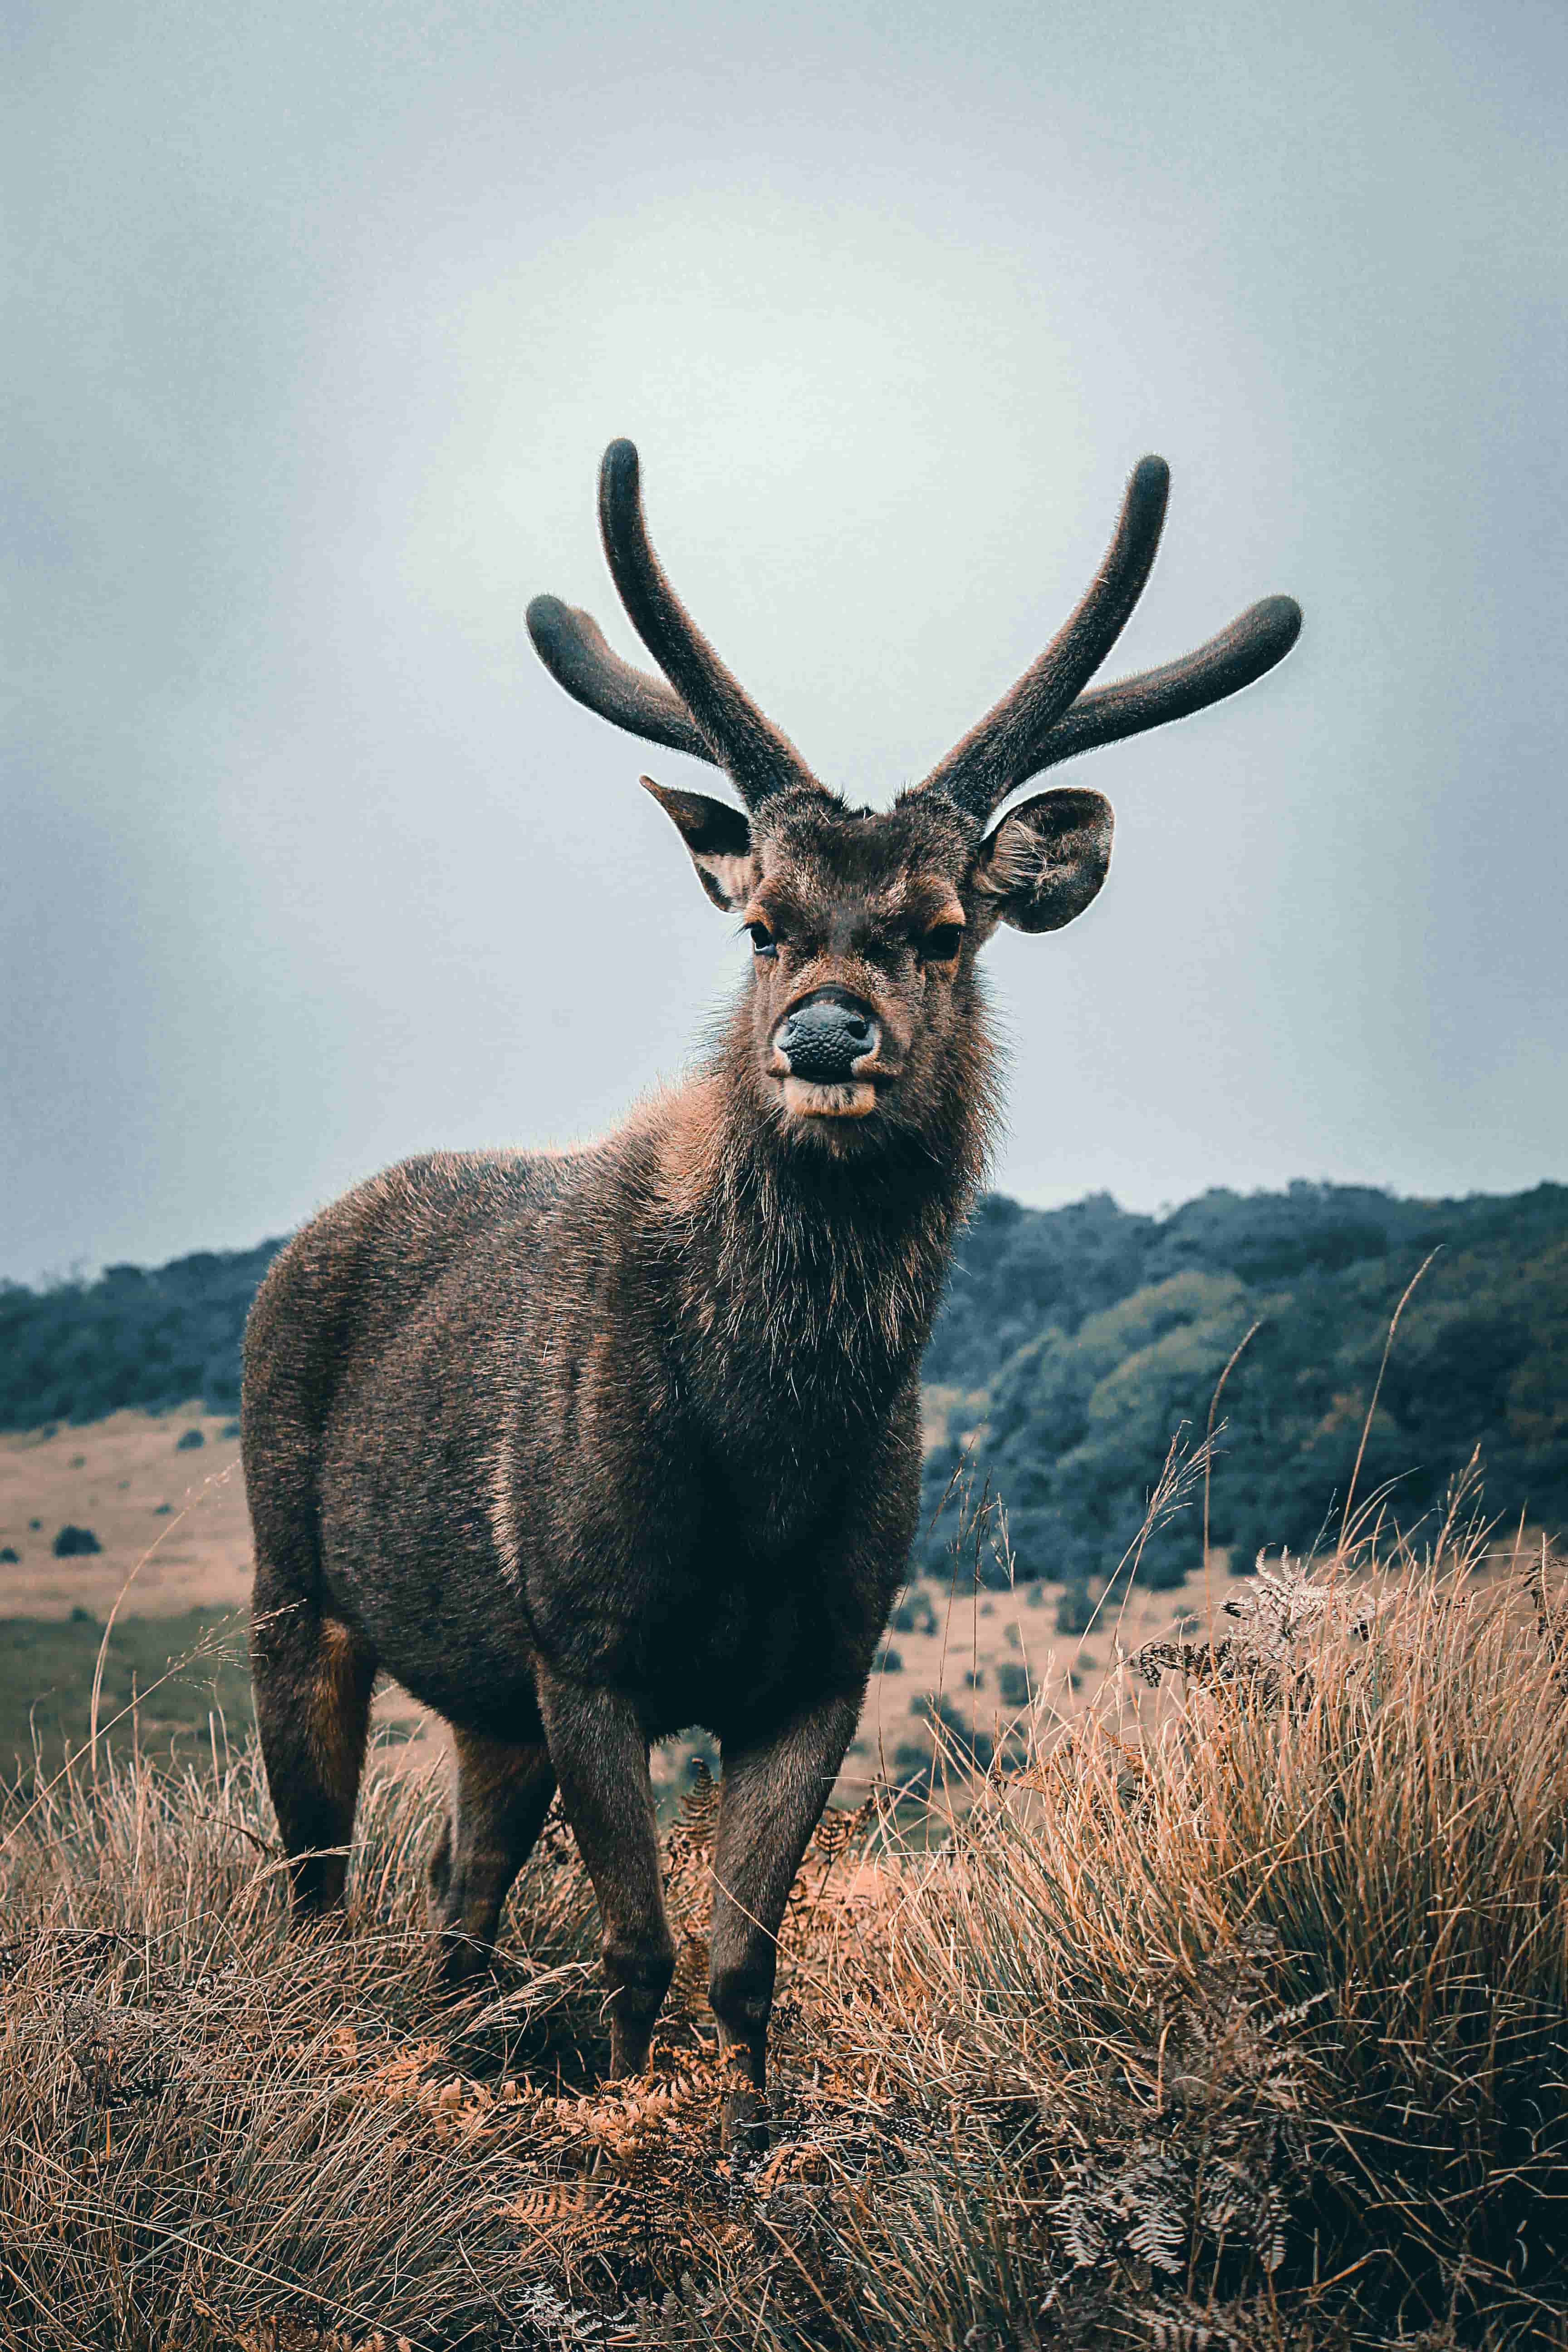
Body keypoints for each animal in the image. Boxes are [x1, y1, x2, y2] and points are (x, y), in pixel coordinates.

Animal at [241, 439, 1300, 2146]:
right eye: (760, 924)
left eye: (942, 927)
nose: (820, 1038)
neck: (765, 1456)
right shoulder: (583, 1635)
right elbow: (638, 1949)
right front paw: (621, 2128)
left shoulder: (822, 1661)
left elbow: (743, 1961)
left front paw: (744, 2142)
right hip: (294, 1580)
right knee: (318, 1874)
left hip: (484, 1700)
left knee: (456, 1889)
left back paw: (456, 2046)